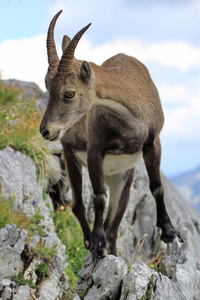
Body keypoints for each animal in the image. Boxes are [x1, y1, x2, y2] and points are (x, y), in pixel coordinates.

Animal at [39, 10, 184, 262]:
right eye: (46, 86)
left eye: (69, 93)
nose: (46, 130)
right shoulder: (95, 148)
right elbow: (98, 197)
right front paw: (97, 243)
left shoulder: (153, 142)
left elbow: (157, 187)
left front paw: (169, 232)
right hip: (70, 155)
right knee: (78, 204)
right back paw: (90, 240)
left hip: (122, 176)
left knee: (114, 222)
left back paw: (112, 249)